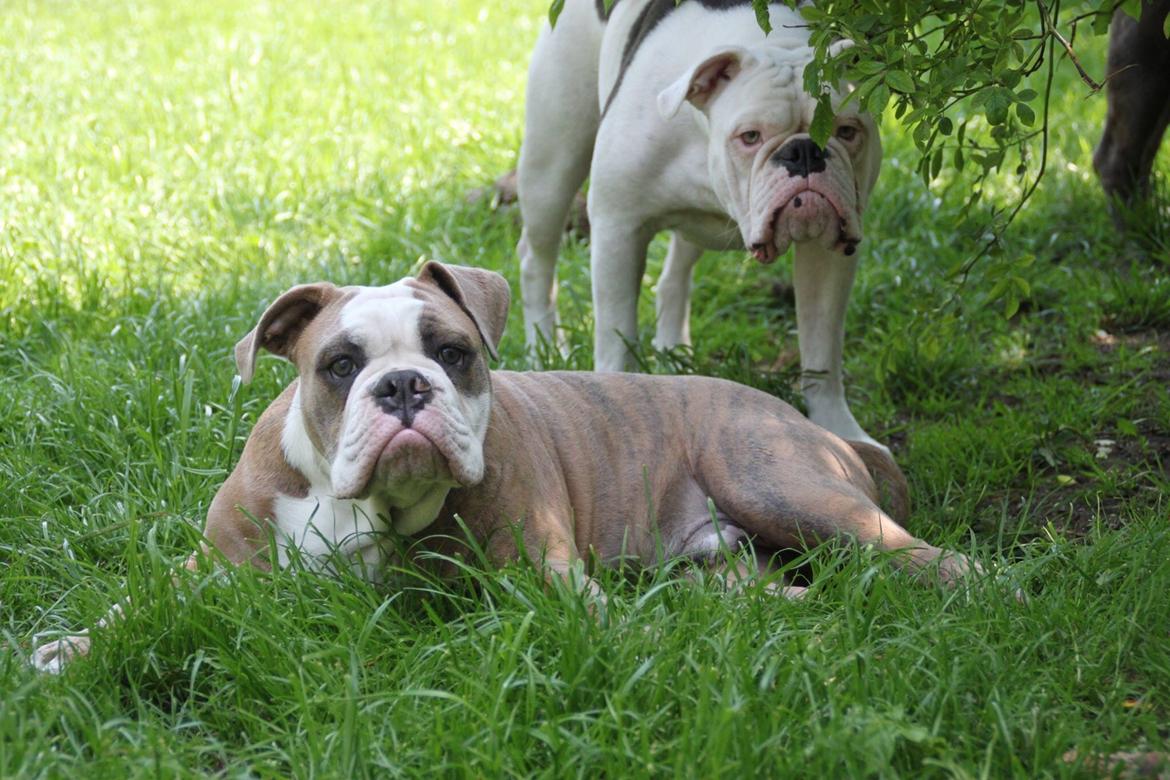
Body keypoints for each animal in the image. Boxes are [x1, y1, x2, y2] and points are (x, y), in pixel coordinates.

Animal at [32, 261, 973, 673]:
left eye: (452, 352)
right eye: (340, 365)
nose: (403, 385)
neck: (356, 502)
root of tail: (805, 421)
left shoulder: (545, 573)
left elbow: (594, 616)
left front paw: (639, 640)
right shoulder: (213, 566)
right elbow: (135, 604)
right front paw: (69, 647)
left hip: (778, 481)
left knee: (929, 557)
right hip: (728, 559)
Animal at [517, 0, 879, 449]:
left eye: (847, 131)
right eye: (750, 136)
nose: (806, 152)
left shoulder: (830, 254)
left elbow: (822, 346)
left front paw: (840, 429)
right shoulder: (619, 228)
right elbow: (617, 337)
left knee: (675, 274)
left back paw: (674, 352)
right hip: (551, 165)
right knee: (537, 260)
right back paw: (541, 347)